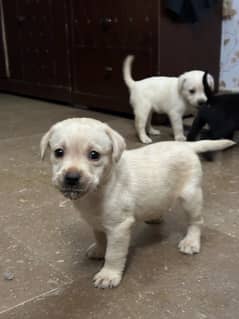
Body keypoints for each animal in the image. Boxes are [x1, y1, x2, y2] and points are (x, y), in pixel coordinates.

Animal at [40, 117, 233, 290]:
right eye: (58, 152)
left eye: (94, 155)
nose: (71, 178)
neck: (101, 187)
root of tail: (187, 145)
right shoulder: (97, 222)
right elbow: (100, 238)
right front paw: (99, 250)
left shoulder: (119, 228)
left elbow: (113, 254)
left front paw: (108, 275)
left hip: (190, 197)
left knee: (196, 222)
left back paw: (191, 242)